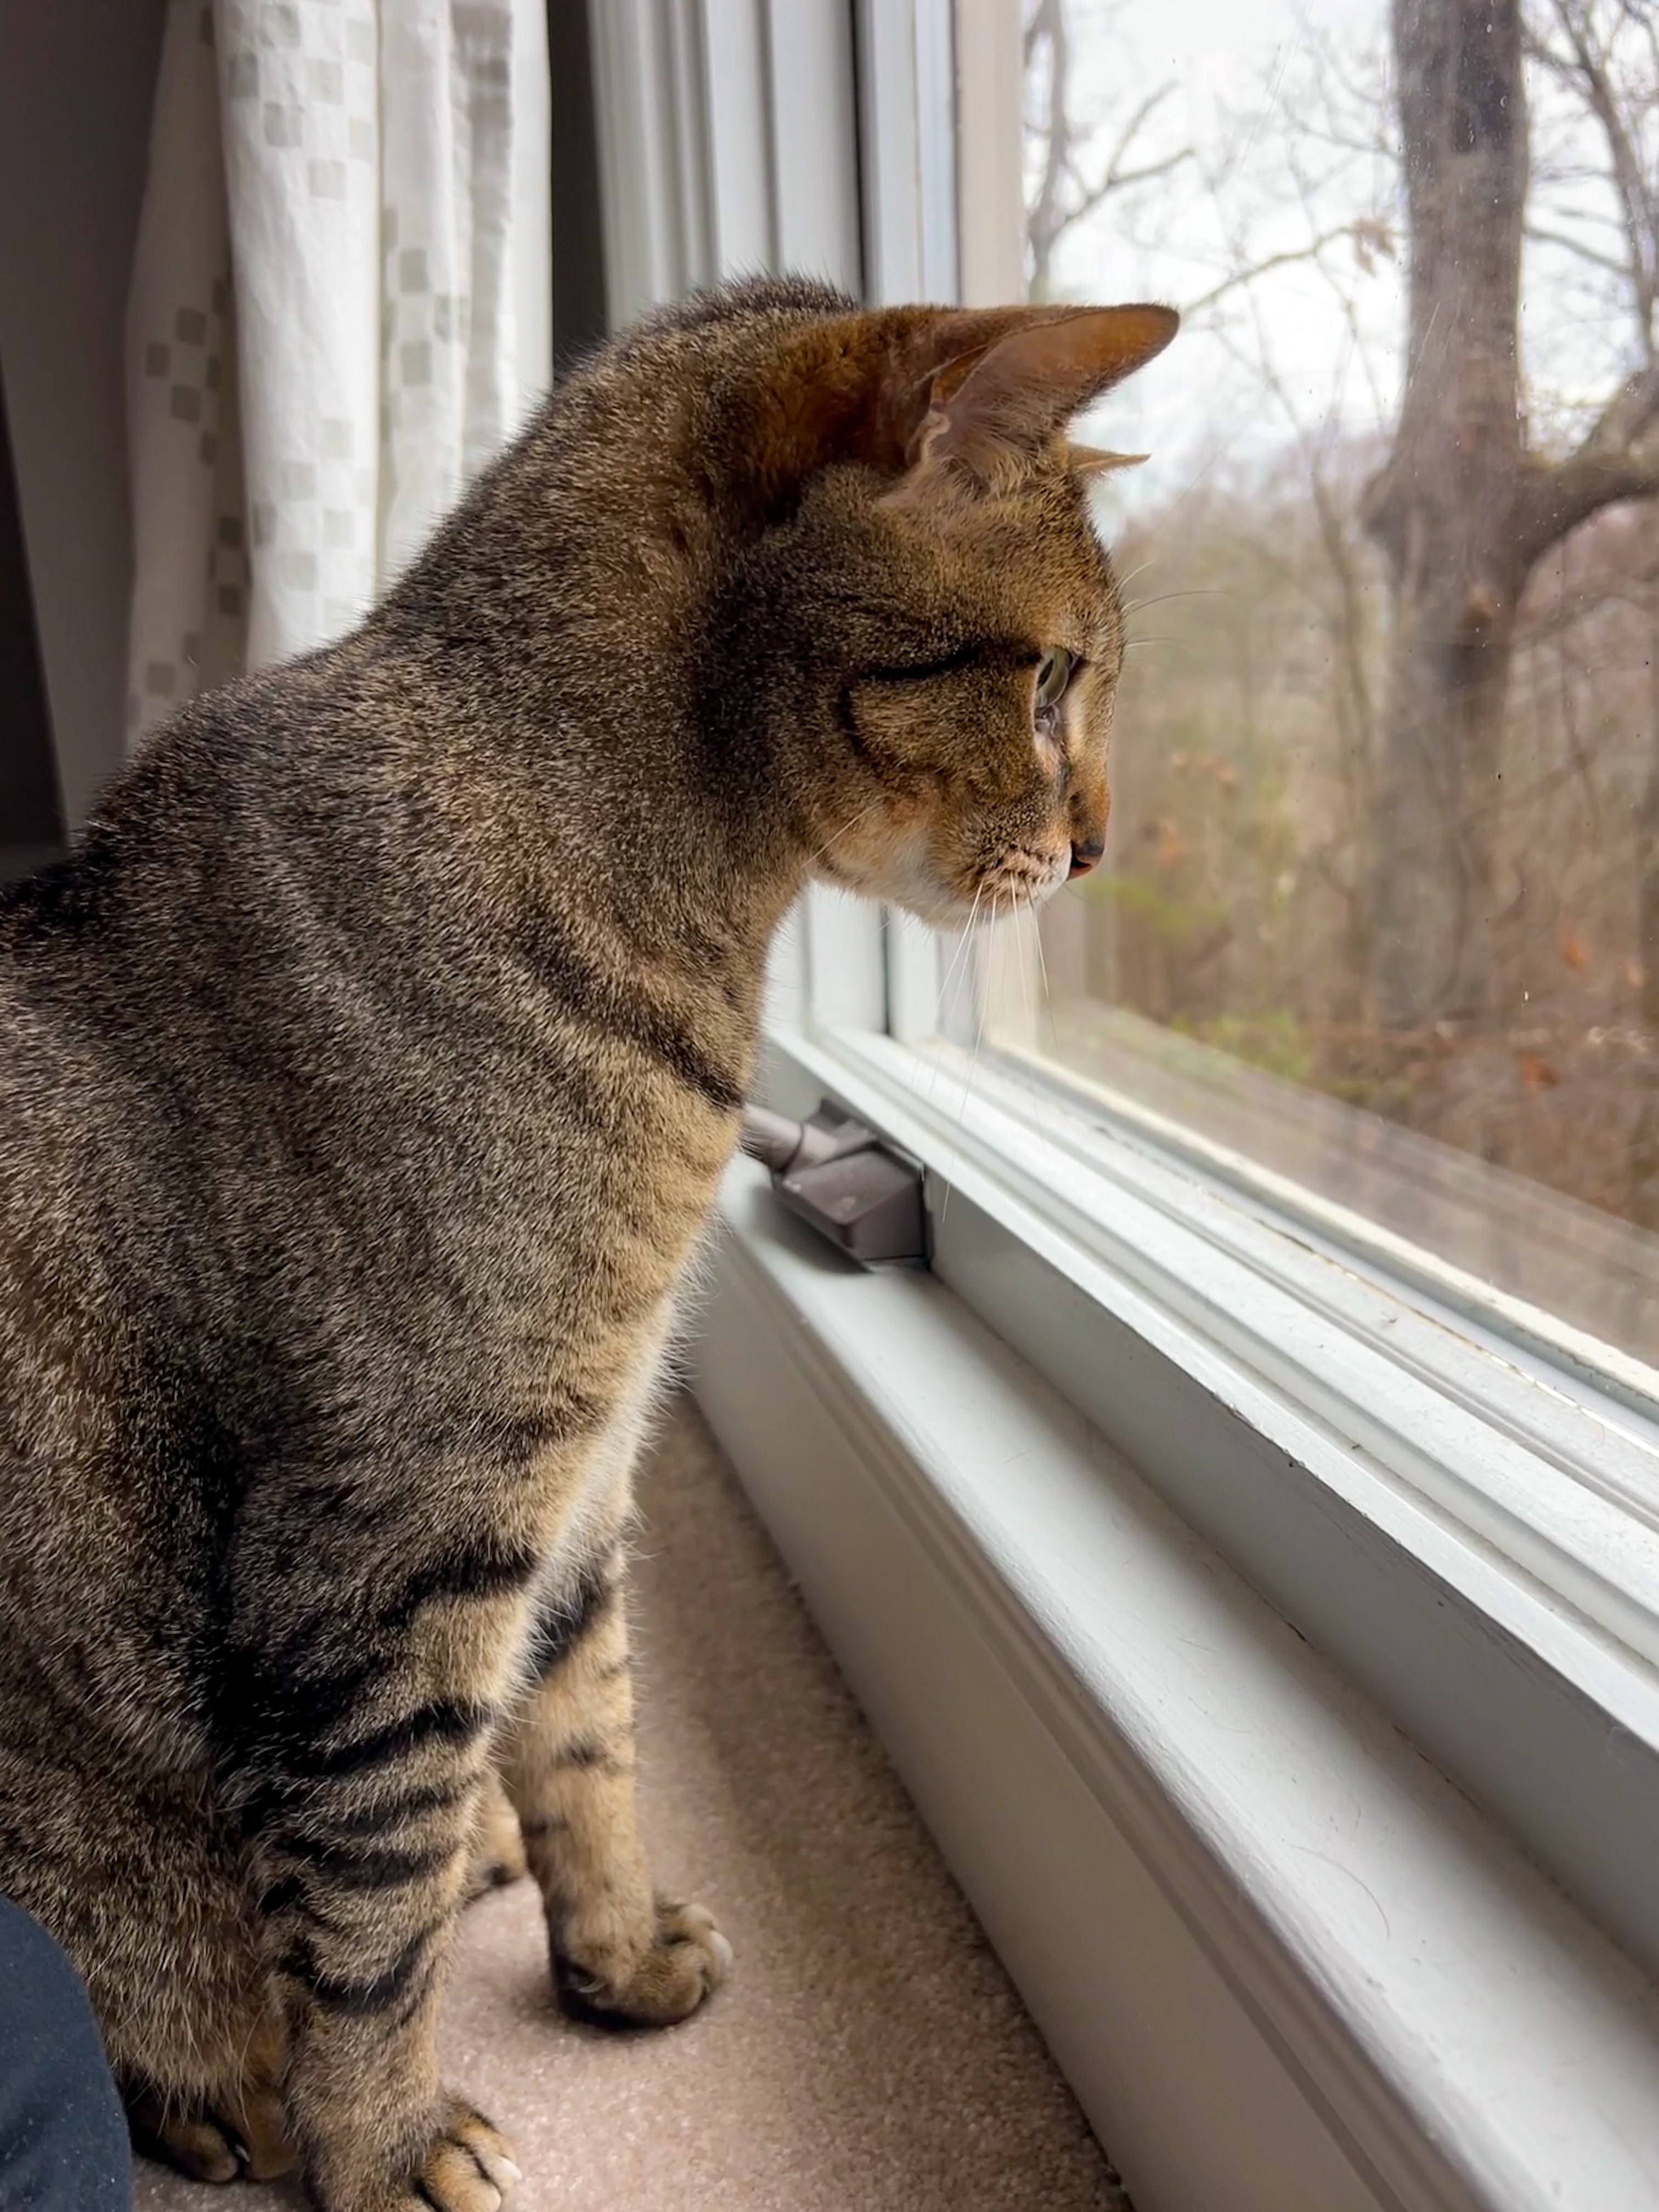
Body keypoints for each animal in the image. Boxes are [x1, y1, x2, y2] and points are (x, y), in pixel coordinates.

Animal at [0, 275, 1175, 2212]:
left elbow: (593, 1743)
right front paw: (383, 2140)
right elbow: (370, 1912)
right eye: (1056, 680)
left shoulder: (583, 1483)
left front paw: (614, 1953)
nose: (1097, 851)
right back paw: (232, 2091)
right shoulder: (403, 1541)